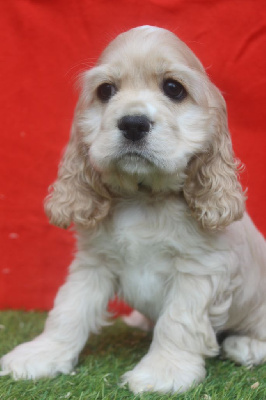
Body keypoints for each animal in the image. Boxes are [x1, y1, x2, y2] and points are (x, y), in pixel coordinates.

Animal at [0, 27, 266, 394]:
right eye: (105, 90)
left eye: (173, 88)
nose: (133, 123)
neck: (144, 198)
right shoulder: (94, 263)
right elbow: (68, 309)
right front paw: (41, 355)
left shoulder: (198, 270)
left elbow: (178, 321)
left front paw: (164, 372)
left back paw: (246, 346)